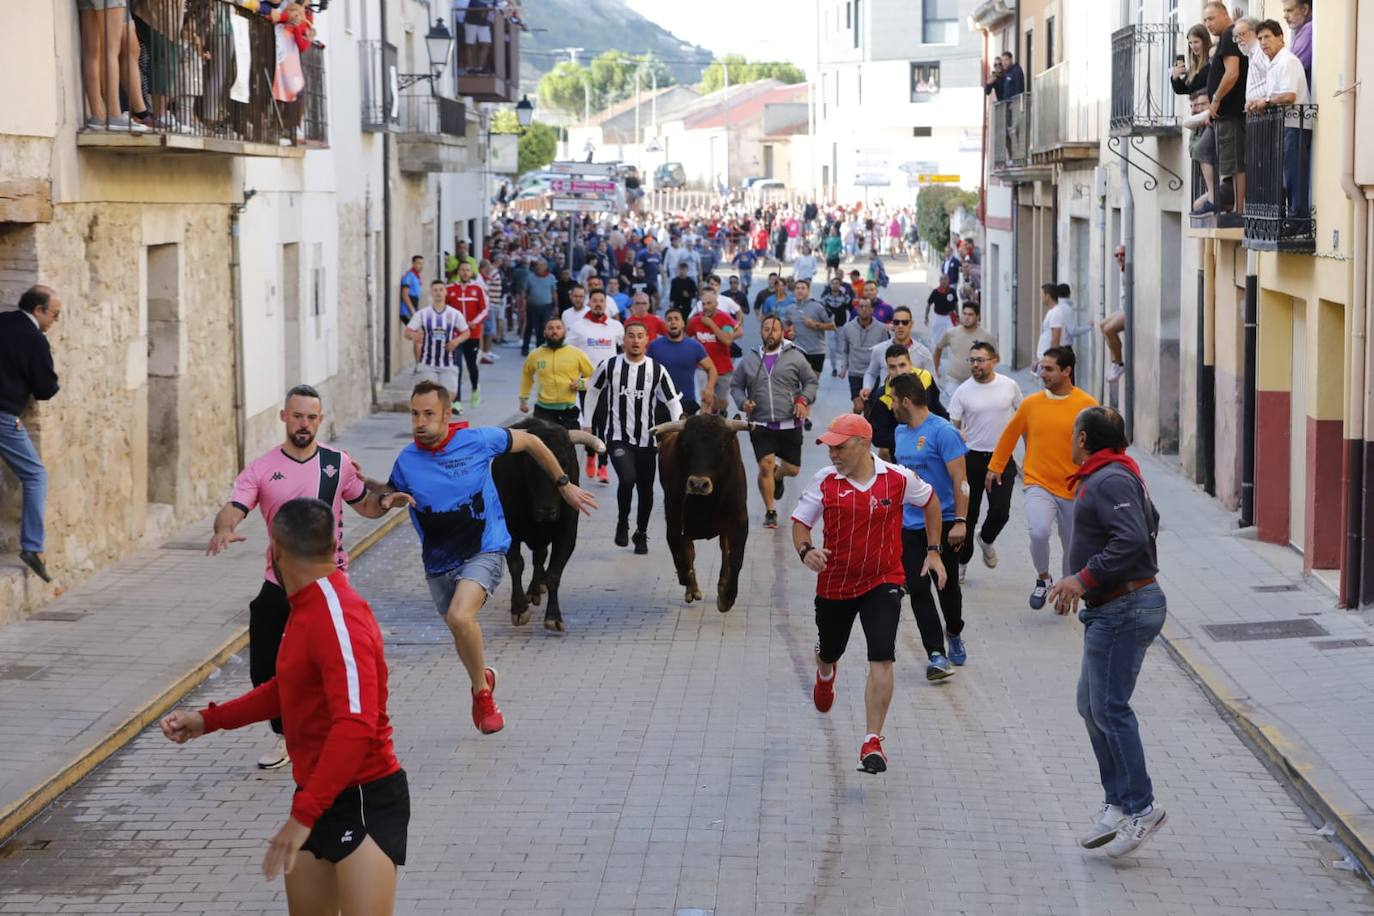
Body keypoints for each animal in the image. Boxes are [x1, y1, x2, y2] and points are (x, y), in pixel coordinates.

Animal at [491, 420, 604, 634]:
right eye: (531, 465)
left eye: (565, 463)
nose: (547, 511)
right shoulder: (510, 531)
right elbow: (516, 565)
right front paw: (519, 609)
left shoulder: (567, 536)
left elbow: (553, 574)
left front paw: (553, 617)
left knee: (540, 557)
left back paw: (536, 589)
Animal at [651, 414, 752, 615]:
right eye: (686, 446)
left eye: (721, 445)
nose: (698, 484)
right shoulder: (675, 522)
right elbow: (682, 555)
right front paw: (688, 582)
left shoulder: (739, 521)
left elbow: (735, 559)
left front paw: (727, 597)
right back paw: (692, 589)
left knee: (724, 552)